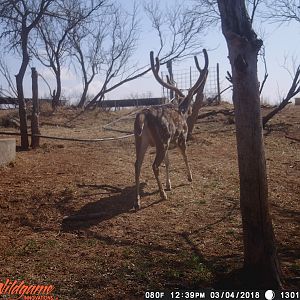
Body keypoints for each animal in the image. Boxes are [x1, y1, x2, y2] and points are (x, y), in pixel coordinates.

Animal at [134, 49, 209, 211]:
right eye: (191, 102)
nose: (191, 110)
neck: (181, 111)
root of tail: (143, 115)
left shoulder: (169, 143)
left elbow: (168, 162)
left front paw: (169, 185)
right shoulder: (182, 137)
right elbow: (185, 156)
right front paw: (189, 177)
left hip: (140, 139)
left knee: (137, 164)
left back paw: (137, 202)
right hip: (161, 139)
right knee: (154, 165)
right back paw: (162, 195)